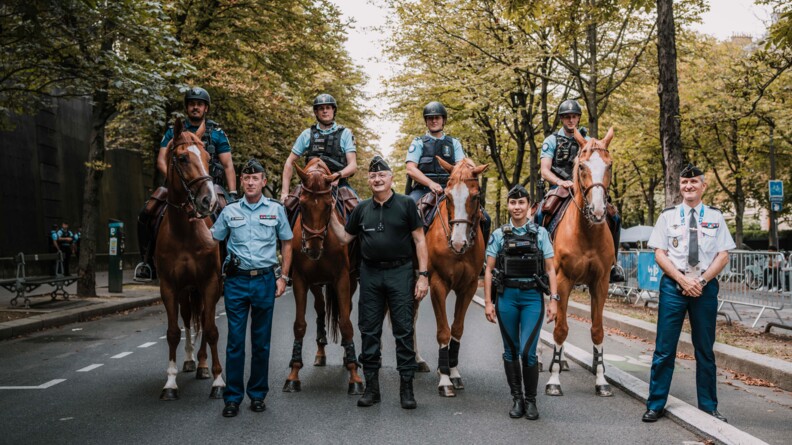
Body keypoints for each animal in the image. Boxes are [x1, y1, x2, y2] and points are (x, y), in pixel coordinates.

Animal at [282, 158, 366, 394]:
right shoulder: (300, 281)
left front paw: (354, 375)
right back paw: (320, 351)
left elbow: (346, 323)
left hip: (350, 281)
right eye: (301, 205)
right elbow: (299, 325)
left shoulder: (342, 279)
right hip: (316, 283)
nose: (312, 250)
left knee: (345, 309)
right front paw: (293, 373)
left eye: (329, 205)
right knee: (320, 309)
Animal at [420, 156, 488, 396]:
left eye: (475, 196)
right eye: (448, 196)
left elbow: (456, 329)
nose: (459, 243)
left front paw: (453, 372)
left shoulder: (468, 287)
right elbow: (443, 331)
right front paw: (444, 380)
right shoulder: (437, 285)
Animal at [544, 126, 620, 398]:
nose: (598, 211)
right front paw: (553, 380)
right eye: (582, 166)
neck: (586, 232)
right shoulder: (562, 281)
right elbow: (560, 328)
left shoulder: (601, 283)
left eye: (609, 165)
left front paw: (601, 380)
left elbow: (597, 331)